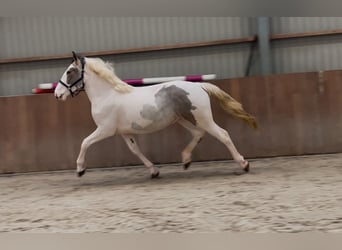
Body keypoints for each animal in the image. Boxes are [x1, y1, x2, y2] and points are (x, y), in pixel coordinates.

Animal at [55, 51, 256, 179]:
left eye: (69, 71)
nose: (57, 94)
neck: (107, 95)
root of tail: (199, 85)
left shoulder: (105, 130)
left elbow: (84, 142)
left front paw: (80, 170)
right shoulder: (124, 132)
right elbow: (135, 150)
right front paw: (154, 171)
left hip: (202, 118)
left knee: (223, 135)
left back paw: (244, 164)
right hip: (183, 119)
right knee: (198, 134)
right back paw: (185, 161)